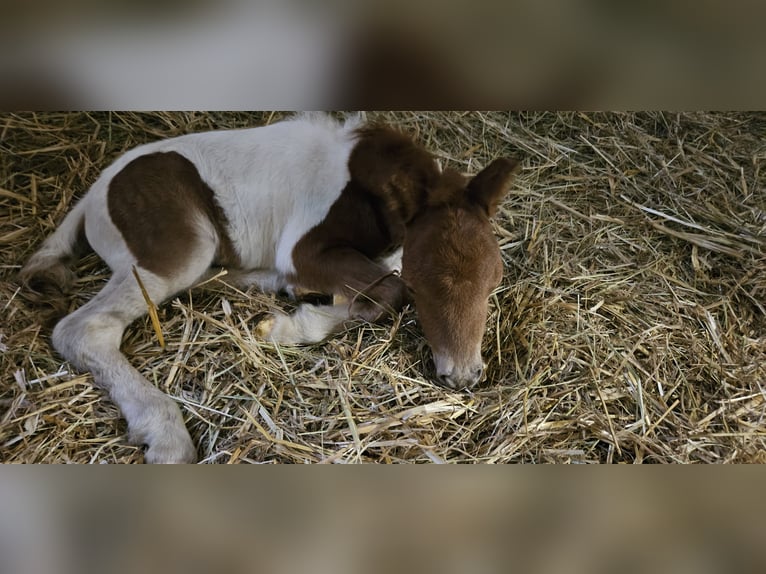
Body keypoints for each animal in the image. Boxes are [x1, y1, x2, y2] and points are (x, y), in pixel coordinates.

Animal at [21, 113, 520, 464]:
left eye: (494, 280)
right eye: (422, 284)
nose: (463, 374)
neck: (363, 187)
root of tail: (94, 194)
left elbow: (377, 284)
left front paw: (289, 313)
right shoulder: (305, 249)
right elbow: (388, 292)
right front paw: (285, 326)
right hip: (178, 251)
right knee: (84, 329)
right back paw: (165, 434)